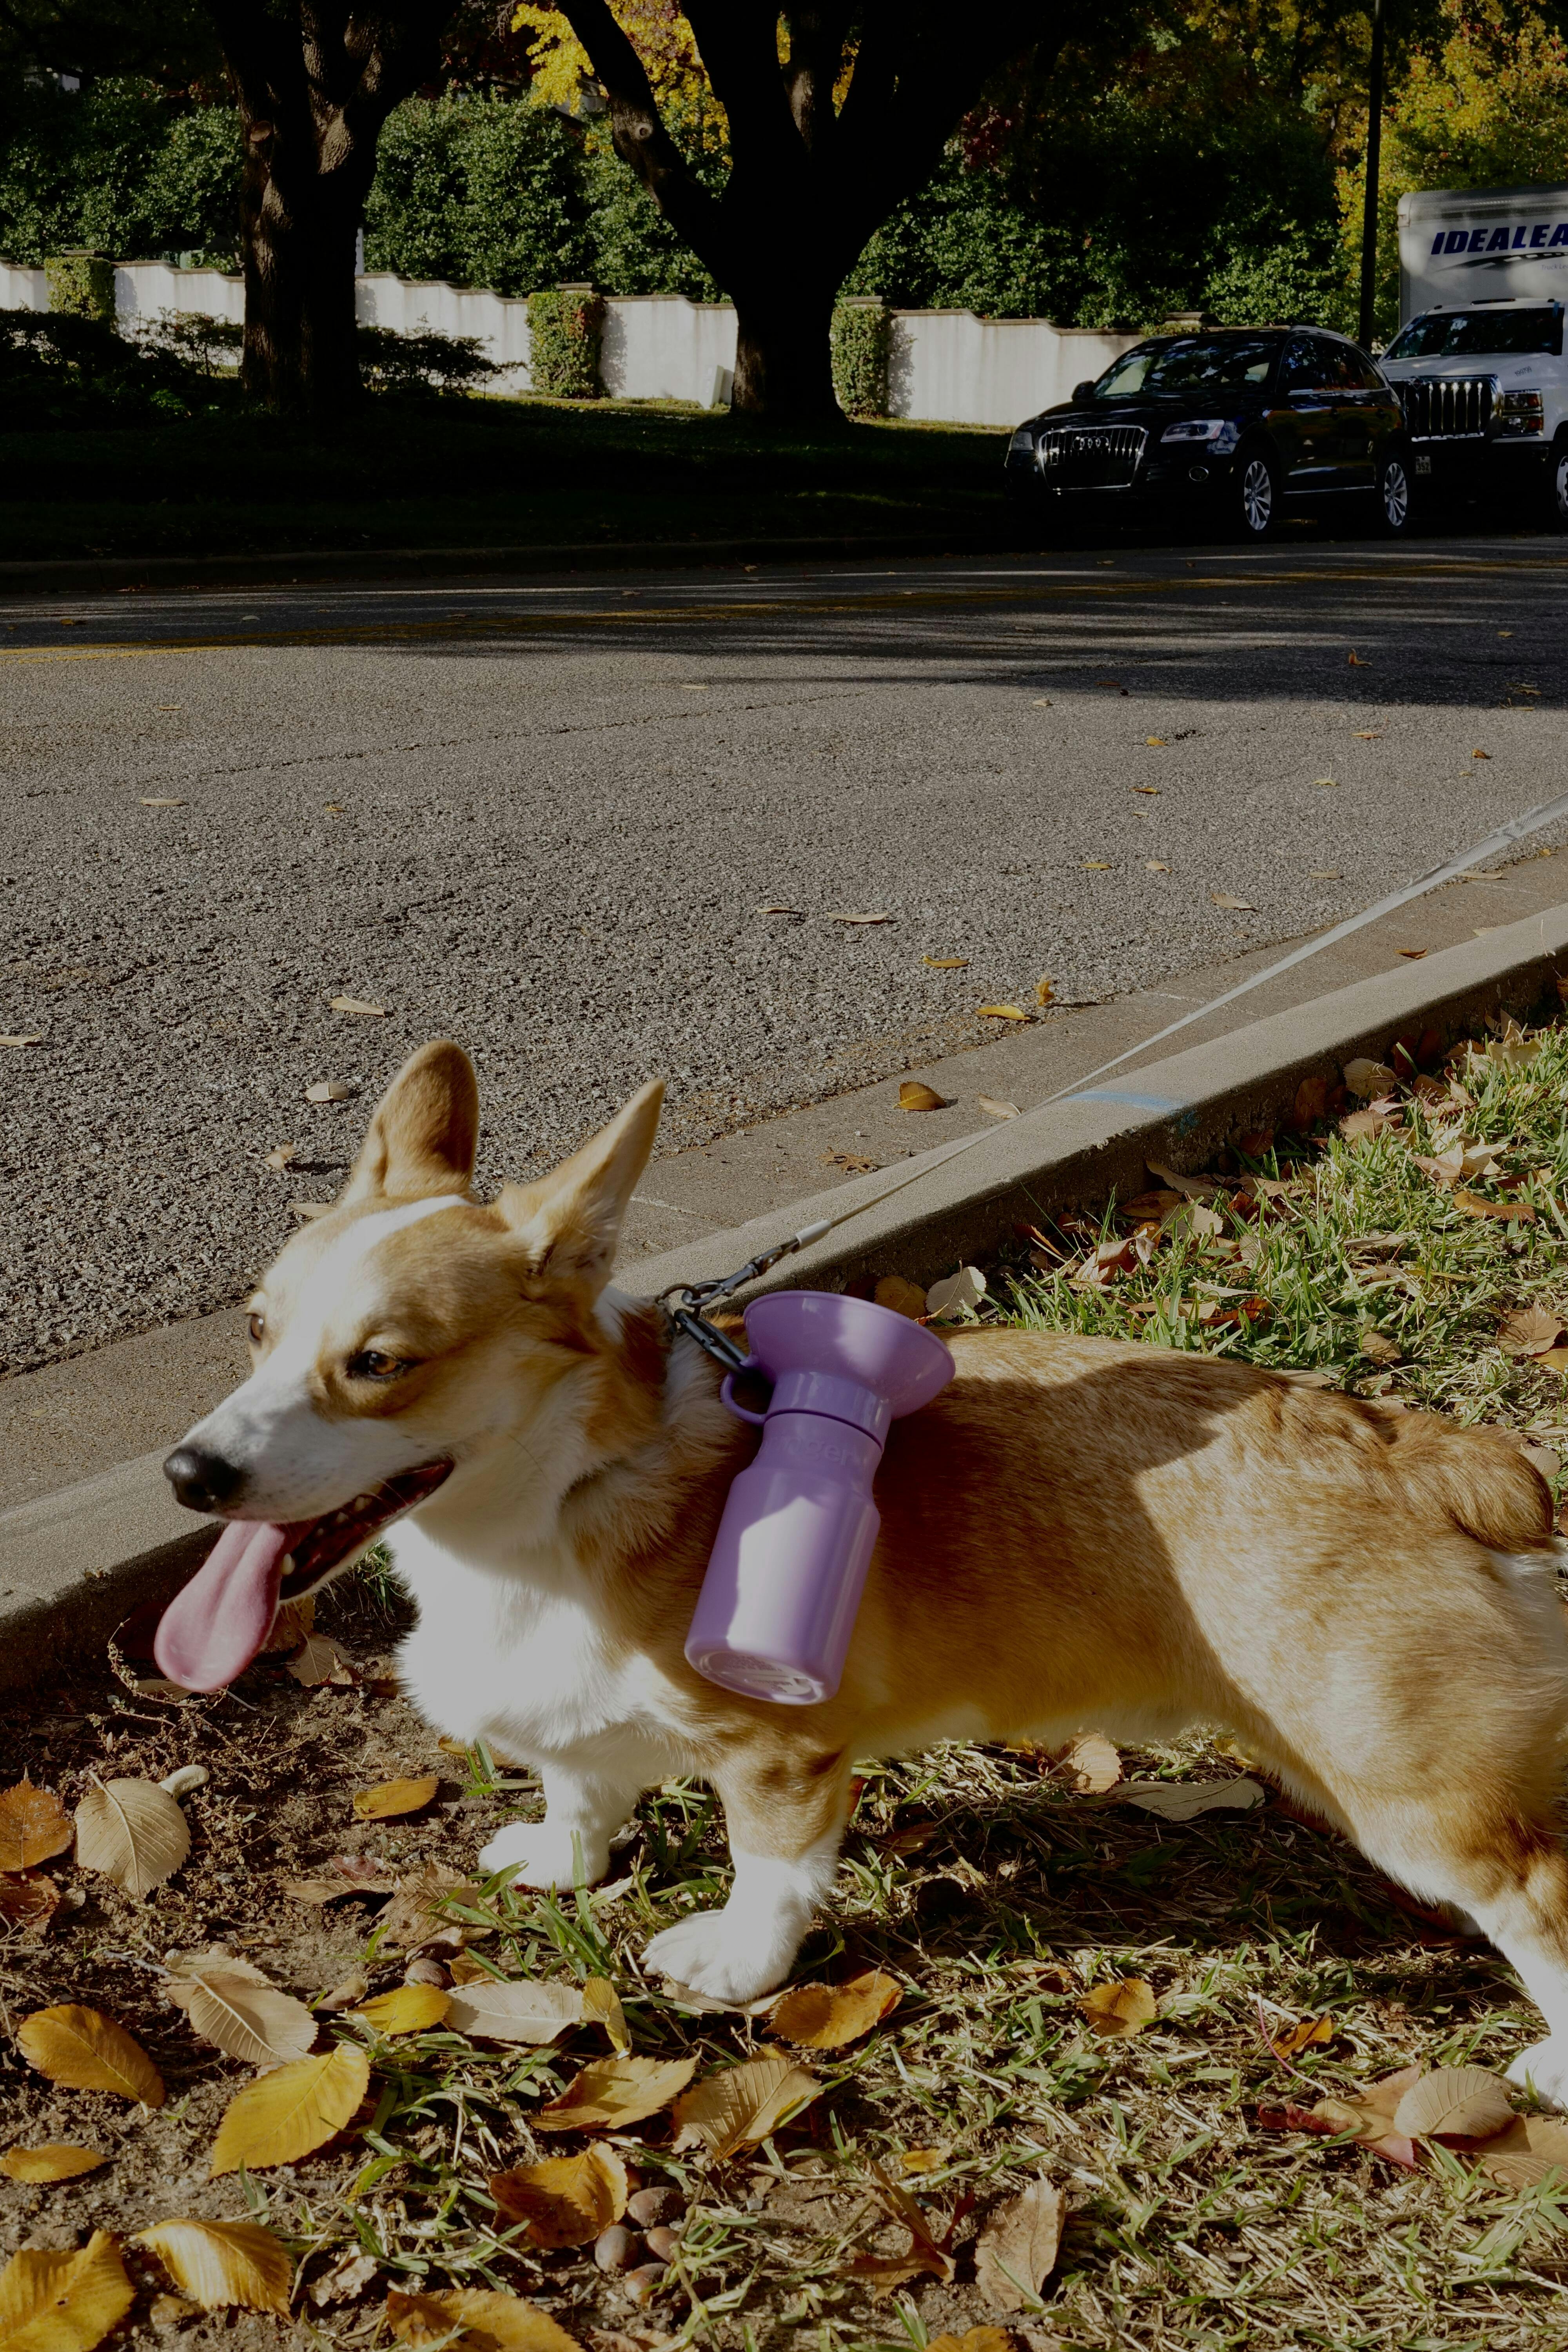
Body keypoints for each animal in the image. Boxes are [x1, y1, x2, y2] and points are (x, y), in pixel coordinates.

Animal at [157, 1040, 1568, 2101]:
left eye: (381, 1363)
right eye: (257, 1328)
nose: (188, 1475)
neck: (556, 1495)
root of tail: (1438, 1456)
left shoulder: (780, 1750)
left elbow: (771, 1872)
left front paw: (736, 1968)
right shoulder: (576, 1719)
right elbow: (581, 1789)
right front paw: (560, 1858)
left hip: (1414, 1799)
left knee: (1538, 1898)